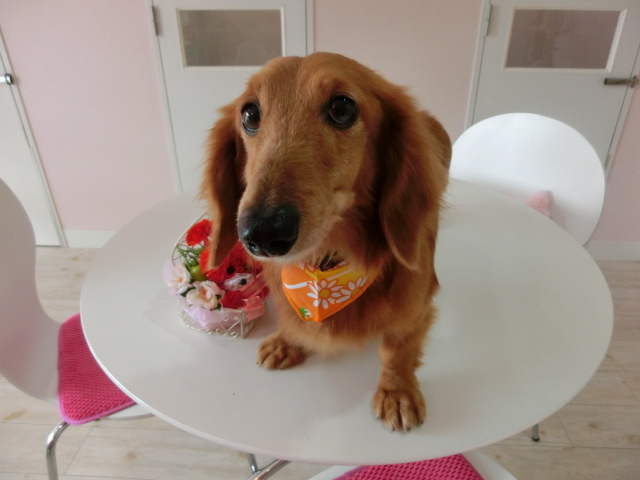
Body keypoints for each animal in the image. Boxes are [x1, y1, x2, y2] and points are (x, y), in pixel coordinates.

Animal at [202, 52, 450, 431]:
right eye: (249, 114)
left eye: (342, 108)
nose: (261, 233)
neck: (325, 268)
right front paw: (287, 342)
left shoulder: (418, 306)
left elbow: (396, 348)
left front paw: (397, 391)